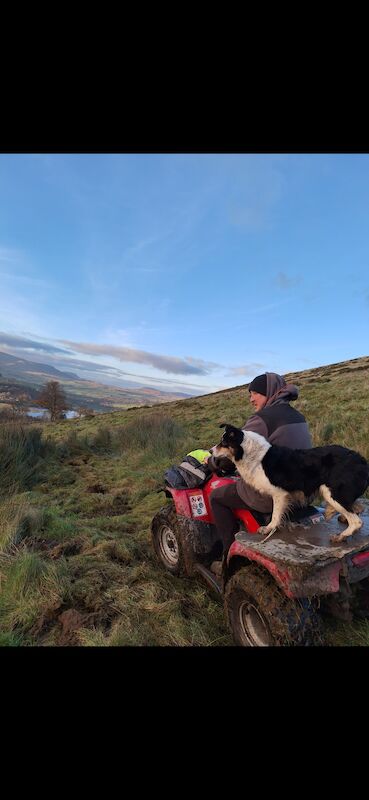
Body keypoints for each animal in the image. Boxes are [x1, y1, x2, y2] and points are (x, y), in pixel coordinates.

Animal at [211, 424, 368, 544]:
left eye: (223, 443)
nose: (210, 451)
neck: (250, 454)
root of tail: (361, 460)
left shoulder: (279, 494)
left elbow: (275, 515)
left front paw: (268, 528)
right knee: (357, 508)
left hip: (332, 493)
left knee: (357, 521)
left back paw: (341, 536)